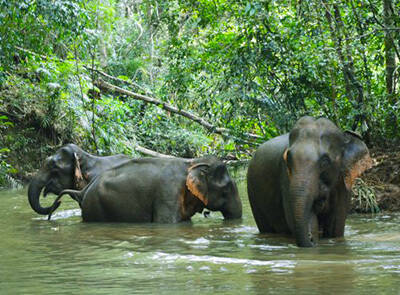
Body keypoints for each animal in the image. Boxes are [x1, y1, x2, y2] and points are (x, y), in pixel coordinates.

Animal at [247, 117, 372, 249]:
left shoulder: (343, 180)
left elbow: (336, 225)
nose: (311, 238)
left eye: (325, 162)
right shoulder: (285, 177)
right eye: (288, 159)